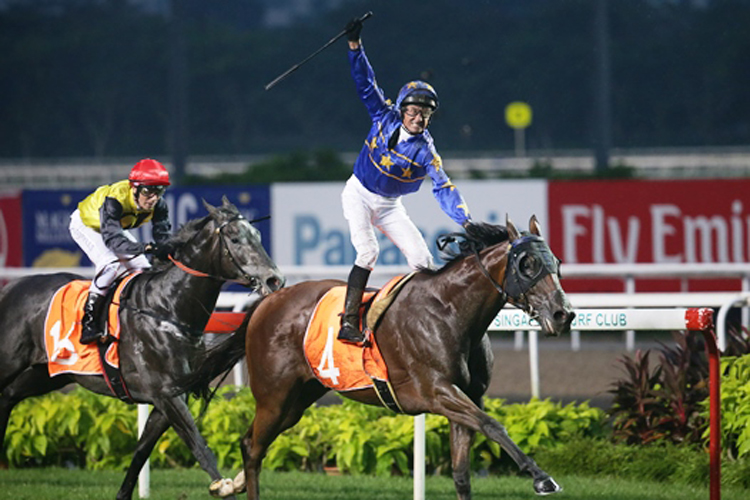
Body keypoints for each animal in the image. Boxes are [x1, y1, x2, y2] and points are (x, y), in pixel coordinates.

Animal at [0, 197, 284, 498]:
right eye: (234, 238)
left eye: (257, 236)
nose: (274, 280)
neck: (166, 307)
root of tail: (10, 288)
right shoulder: (166, 394)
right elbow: (197, 443)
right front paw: (224, 483)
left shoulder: (166, 400)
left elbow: (140, 452)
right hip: (10, 361)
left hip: (47, 374)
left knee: (8, 396)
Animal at [235, 217, 576, 500]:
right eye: (527, 264)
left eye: (557, 262)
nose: (564, 315)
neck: (450, 310)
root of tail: (268, 302)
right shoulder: (436, 391)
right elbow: (493, 425)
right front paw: (542, 477)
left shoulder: (468, 395)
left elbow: (462, 474)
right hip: (274, 397)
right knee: (252, 448)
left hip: (298, 399)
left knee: (253, 442)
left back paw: (232, 484)